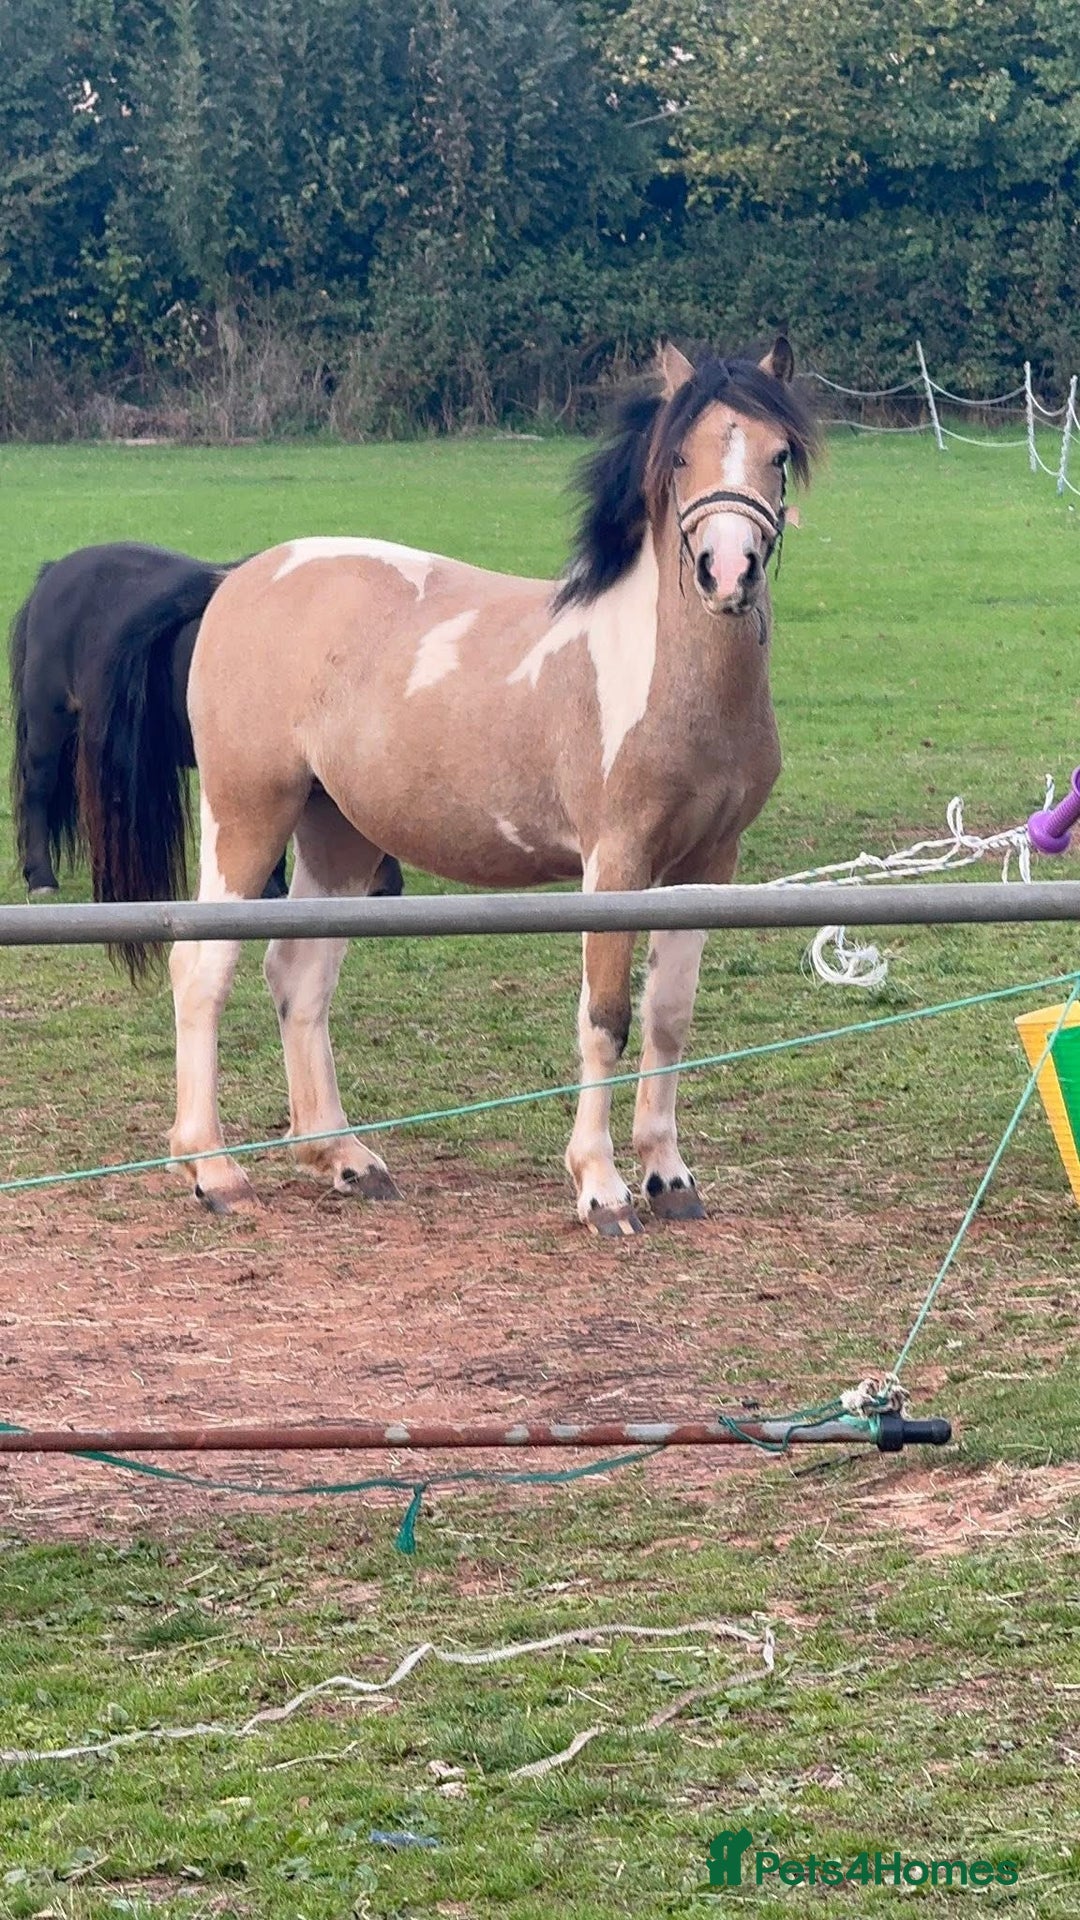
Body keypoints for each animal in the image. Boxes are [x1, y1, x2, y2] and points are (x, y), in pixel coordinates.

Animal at [80, 338, 817, 1233]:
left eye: (777, 454)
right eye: (680, 456)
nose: (727, 571)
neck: (666, 675)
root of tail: (235, 580)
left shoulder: (708, 865)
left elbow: (668, 1018)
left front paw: (668, 1177)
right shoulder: (615, 863)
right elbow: (604, 1019)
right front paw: (601, 1188)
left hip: (339, 836)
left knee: (299, 978)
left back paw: (345, 1159)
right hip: (247, 817)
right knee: (202, 971)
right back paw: (214, 1171)